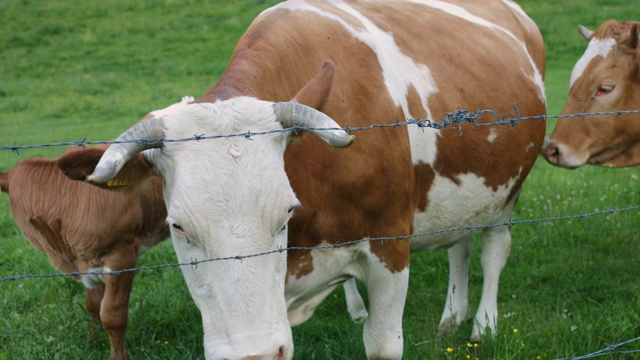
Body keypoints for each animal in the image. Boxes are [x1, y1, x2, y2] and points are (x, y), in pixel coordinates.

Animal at [0, 96, 191, 360]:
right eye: (22, 213)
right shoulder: (87, 262)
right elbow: (92, 305)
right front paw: (92, 340)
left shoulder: (122, 256)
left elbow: (112, 315)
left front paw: (116, 355)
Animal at [57, 1, 544, 358]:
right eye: (178, 227)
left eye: (286, 211)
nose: (253, 356)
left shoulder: (389, 246)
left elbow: (382, 344)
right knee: (459, 245)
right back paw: (450, 318)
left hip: (507, 191)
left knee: (492, 250)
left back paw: (482, 324)